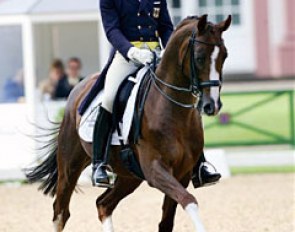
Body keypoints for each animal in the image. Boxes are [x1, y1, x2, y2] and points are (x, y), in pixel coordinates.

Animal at [26, 14, 231, 232]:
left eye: (224, 56)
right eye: (199, 57)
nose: (212, 105)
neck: (170, 109)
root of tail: (79, 88)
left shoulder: (181, 174)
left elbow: (169, 219)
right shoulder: (155, 170)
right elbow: (189, 200)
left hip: (129, 176)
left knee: (103, 204)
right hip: (70, 166)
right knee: (61, 212)